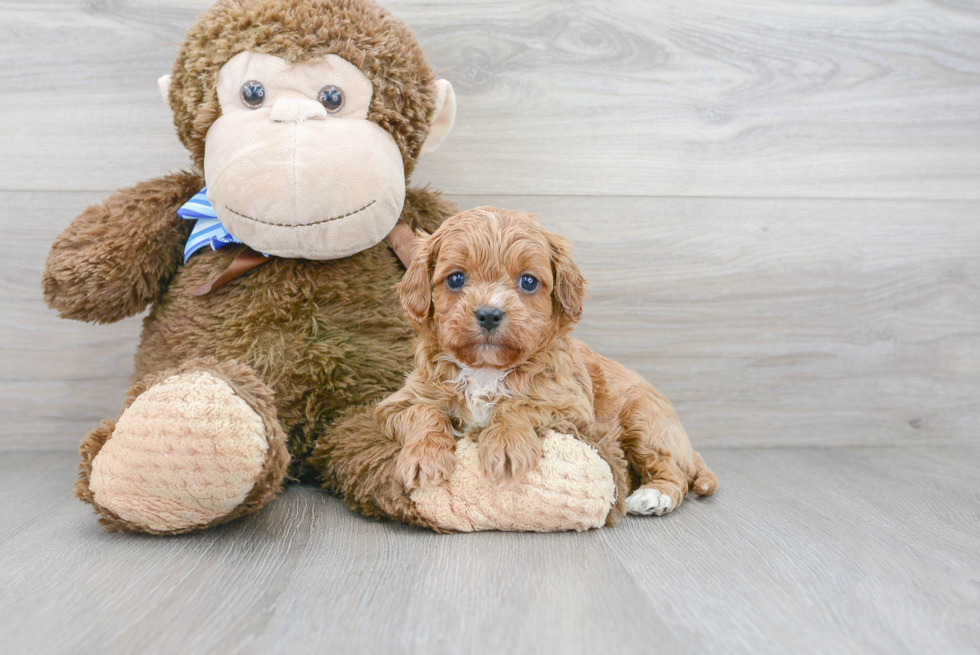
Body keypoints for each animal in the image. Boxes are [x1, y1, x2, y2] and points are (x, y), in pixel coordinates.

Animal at [378, 208, 716, 516]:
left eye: (528, 282)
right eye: (456, 279)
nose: (489, 314)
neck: (487, 371)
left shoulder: (574, 410)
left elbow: (517, 405)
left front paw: (505, 444)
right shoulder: (396, 404)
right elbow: (425, 411)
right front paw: (424, 457)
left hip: (644, 421)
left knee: (674, 470)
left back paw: (654, 496)